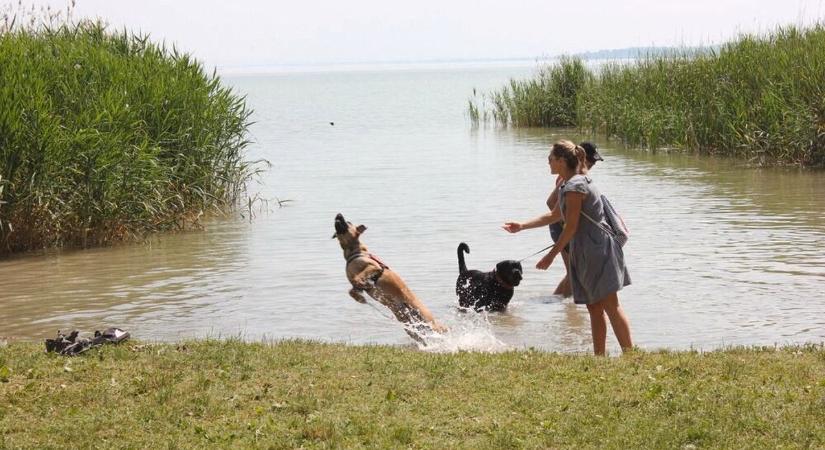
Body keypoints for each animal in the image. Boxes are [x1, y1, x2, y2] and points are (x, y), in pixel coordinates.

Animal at [332, 214, 448, 342]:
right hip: (411, 326)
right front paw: (360, 298)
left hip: (427, 319)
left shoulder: (375, 267)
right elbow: (352, 290)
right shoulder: (356, 286)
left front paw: (362, 282)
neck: (353, 251)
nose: (338, 214)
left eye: (348, 222)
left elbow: (361, 275)